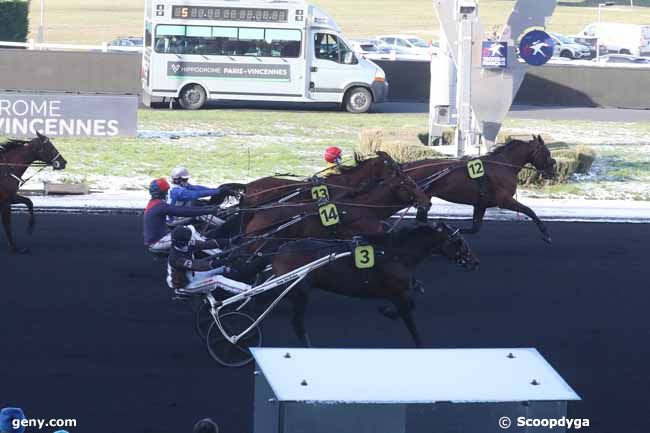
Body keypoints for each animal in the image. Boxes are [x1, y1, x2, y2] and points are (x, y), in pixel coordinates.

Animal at [270, 223, 478, 348]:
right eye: (459, 241)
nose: (475, 262)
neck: (394, 253)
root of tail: (280, 250)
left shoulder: (398, 293)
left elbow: (409, 307)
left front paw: (386, 310)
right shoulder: (398, 293)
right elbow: (410, 321)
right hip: (300, 291)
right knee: (297, 323)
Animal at [402, 135, 556, 243]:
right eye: (547, 153)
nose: (552, 172)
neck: (504, 165)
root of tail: (407, 167)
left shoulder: (481, 204)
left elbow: (474, 229)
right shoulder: (504, 200)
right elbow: (529, 210)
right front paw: (546, 234)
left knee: (420, 221)